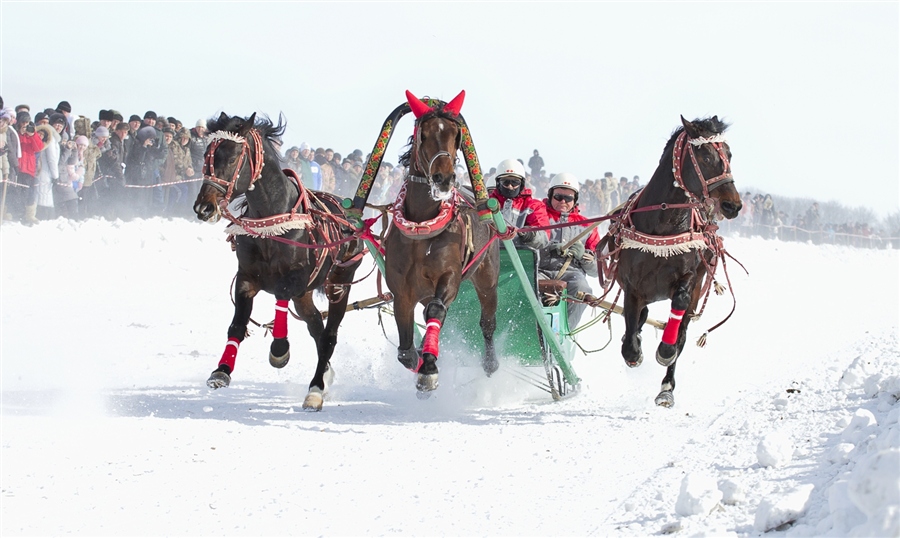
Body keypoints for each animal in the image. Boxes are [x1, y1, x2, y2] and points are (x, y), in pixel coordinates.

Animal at [194, 111, 366, 408]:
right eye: (207, 155)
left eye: (232, 157)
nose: (203, 207)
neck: (272, 225)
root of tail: (351, 218)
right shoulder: (247, 278)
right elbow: (237, 324)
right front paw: (221, 370)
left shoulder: (295, 278)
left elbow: (280, 297)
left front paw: (279, 349)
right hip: (306, 295)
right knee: (316, 327)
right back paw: (325, 373)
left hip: (340, 283)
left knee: (329, 335)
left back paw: (316, 388)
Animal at [384, 91, 502, 394]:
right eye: (423, 134)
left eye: (456, 135)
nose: (444, 178)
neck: (421, 229)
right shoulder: (401, 289)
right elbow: (404, 350)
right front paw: (418, 358)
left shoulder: (449, 275)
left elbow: (437, 309)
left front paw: (428, 369)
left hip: (487, 277)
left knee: (487, 323)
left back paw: (490, 362)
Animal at [600, 114, 740, 406]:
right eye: (705, 156)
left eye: (730, 154)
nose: (732, 205)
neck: (663, 224)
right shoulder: (632, 285)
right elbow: (631, 328)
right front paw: (633, 350)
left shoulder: (690, 276)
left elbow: (680, 306)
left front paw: (665, 351)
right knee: (639, 319)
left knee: (682, 332)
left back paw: (666, 386)